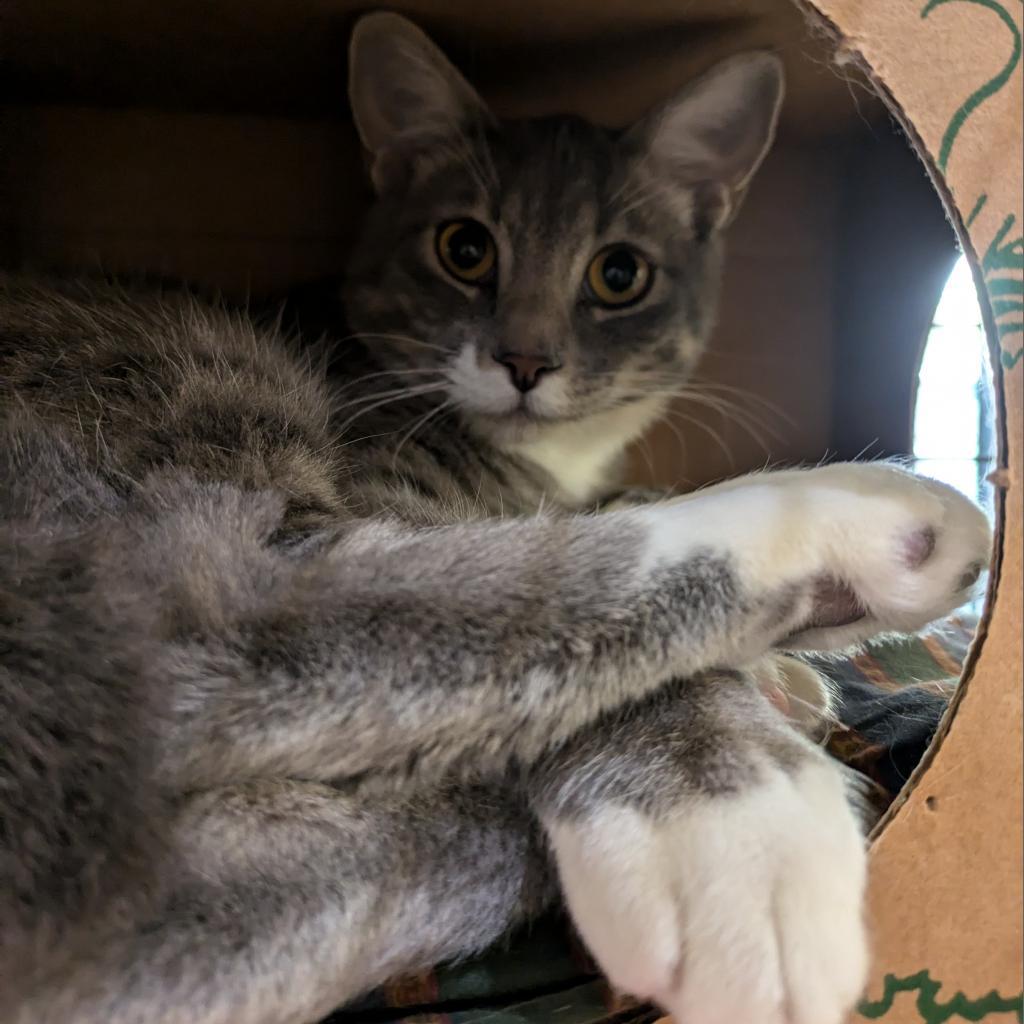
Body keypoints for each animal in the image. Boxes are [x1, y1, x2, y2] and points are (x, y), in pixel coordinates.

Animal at [0, 9, 991, 1024]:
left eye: (620, 274)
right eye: (465, 249)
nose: (525, 360)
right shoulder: (386, 479)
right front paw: (732, 820)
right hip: (195, 414)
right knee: (269, 608)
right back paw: (868, 523)